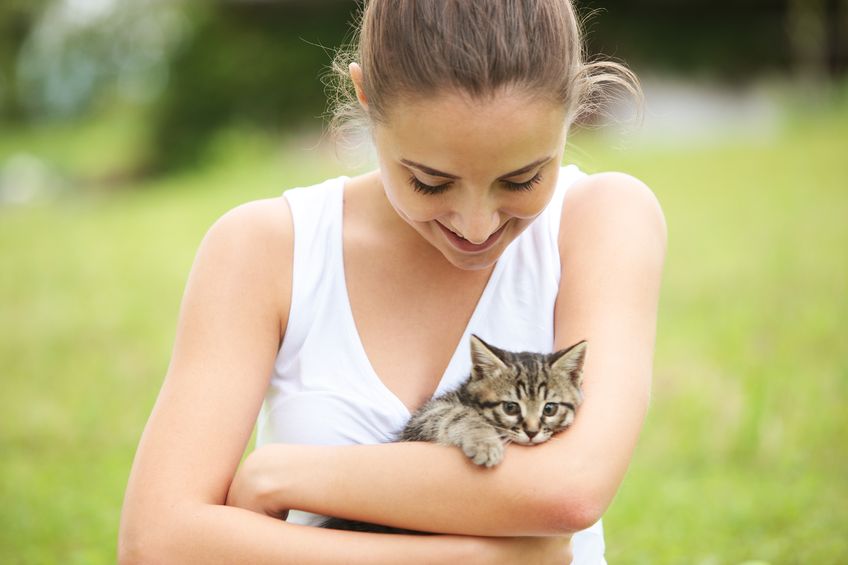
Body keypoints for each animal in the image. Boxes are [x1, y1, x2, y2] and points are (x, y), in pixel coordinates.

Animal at [322, 334, 588, 532]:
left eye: (549, 409)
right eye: (510, 407)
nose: (532, 432)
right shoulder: (424, 418)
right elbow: (458, 414)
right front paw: (485, 443)